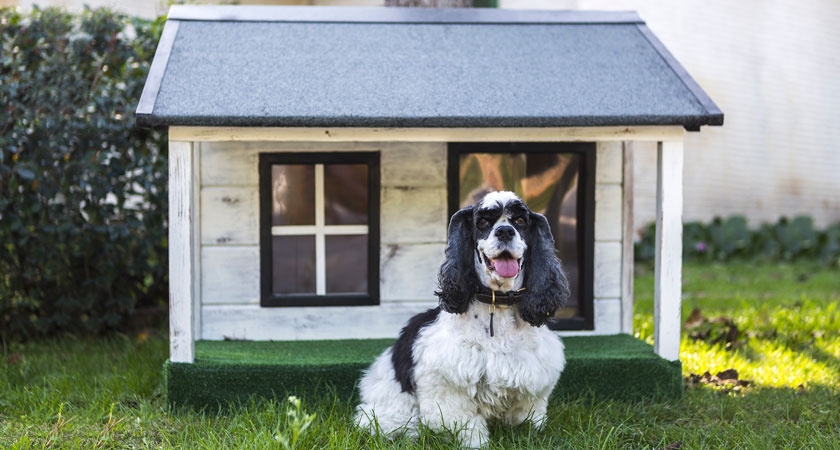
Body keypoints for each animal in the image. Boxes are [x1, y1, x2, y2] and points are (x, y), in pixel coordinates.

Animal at [354, 190, 572, 446]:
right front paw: (477, 443)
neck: (497, 303)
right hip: (390, 409)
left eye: (520, 221)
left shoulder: (532, 382)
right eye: (483, 223)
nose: (505, 231)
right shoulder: (449, 385)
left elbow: (527, 419)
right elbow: (468, 426)